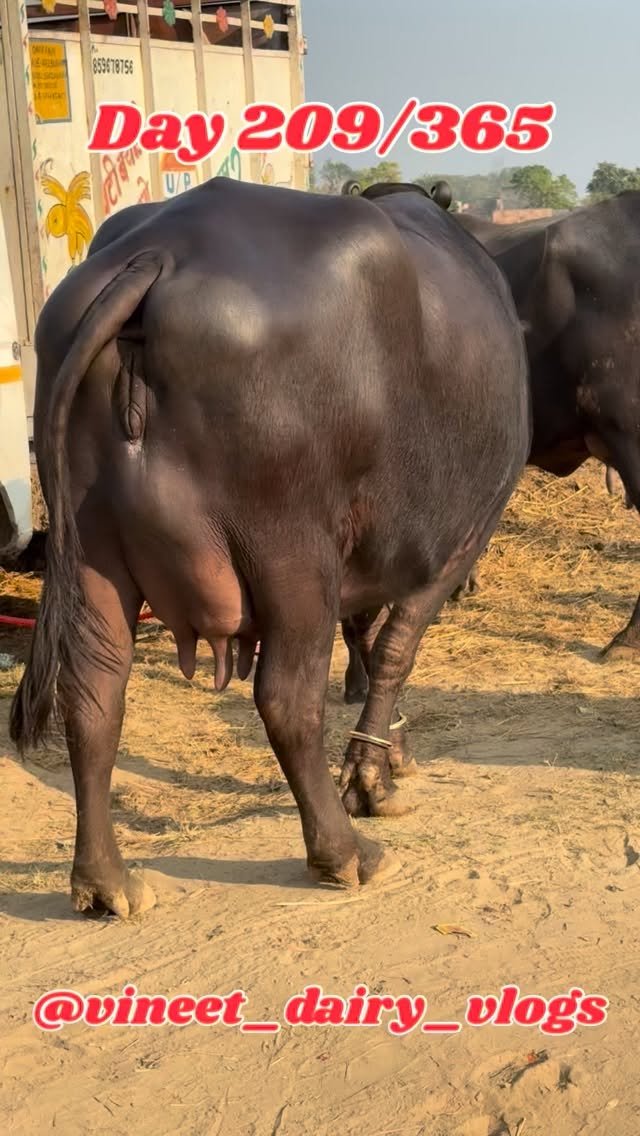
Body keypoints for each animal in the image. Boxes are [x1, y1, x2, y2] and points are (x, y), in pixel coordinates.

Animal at [9, 177, 530, 917]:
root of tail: (157, 256)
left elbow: (367, 641)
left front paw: (388, 752)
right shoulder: (455, 542)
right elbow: (393, 651)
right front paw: (373, 778)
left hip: (91, 557)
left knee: (94, 696)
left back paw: (106, 883)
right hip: (291, 555)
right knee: (287, 700)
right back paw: (346, 853)